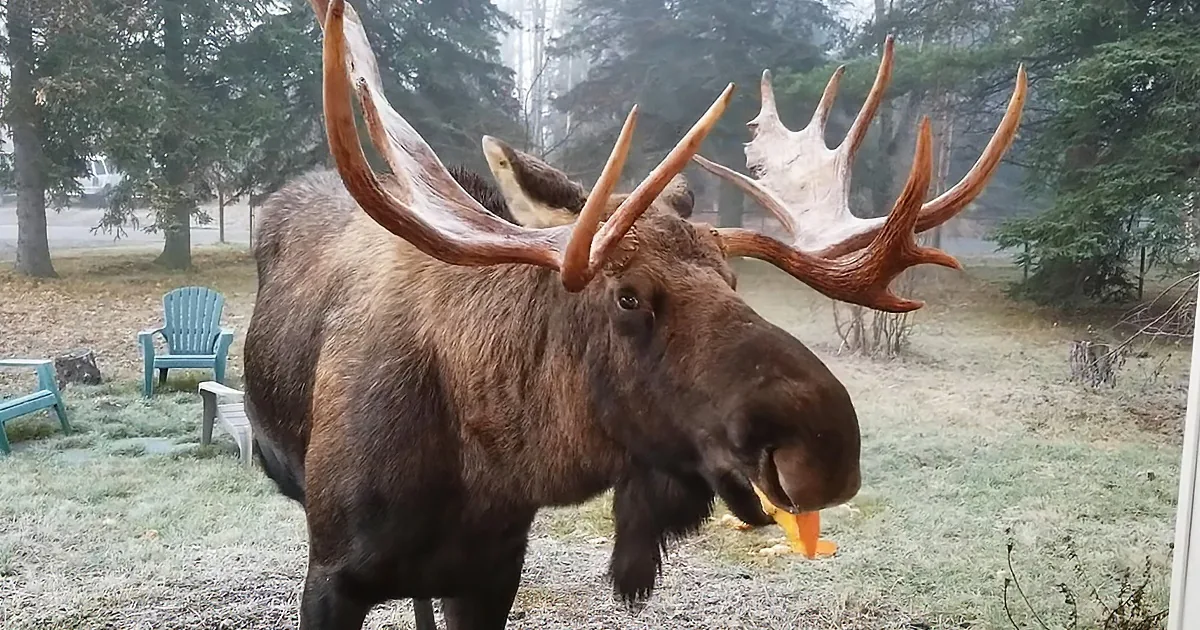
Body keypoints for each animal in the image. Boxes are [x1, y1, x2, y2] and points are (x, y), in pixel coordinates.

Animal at [242, 2, 1027, 629]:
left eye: (732, 278)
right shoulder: (333, 576)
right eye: (626, 296)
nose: (827, 447)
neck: (487, 470)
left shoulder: (494, 570)